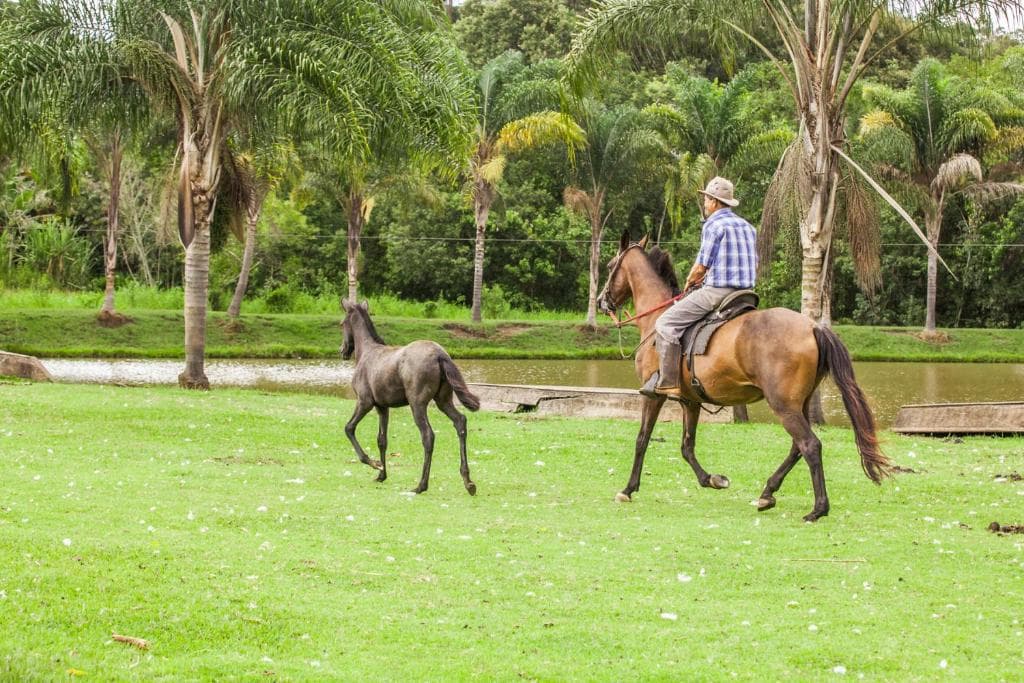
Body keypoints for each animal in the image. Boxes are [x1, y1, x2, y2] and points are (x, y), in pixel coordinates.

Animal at [335, 301, 479, 493]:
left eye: (342, 324)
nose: (342, 351)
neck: (366, 352)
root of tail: (440, 355)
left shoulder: (365, 402)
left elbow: (349, 428)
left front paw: (375, 463)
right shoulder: (382, 407)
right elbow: (382, 440)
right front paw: (381, 475)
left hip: (417, 404)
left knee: (428, 436)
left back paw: (421, 485)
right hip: (443, 401)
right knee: (460, 422)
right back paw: (468, 482)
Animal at [598, 232, 892, 520]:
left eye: (610, 266)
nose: (602, 302)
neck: (657, 317)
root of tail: (813, 326)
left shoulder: (653, 396)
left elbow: (642, 439)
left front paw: (628, 489)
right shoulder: (690, 401)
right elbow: (687, 446)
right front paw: (712, 479)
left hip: (783, 405)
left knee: (810, 445)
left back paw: (818, 509)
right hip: (801, 403)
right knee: (797, 447)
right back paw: (768, 493)